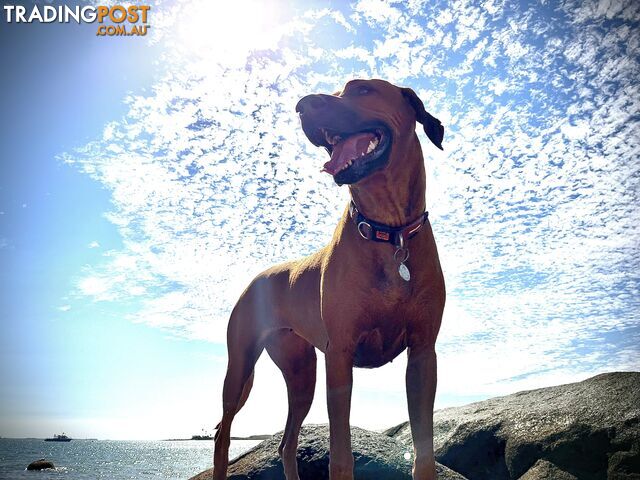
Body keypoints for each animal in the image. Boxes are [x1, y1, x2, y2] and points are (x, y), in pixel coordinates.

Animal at [214, 79, 444, 480]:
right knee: (222, 434)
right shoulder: (339, 355)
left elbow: (424, 450)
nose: (301, 105)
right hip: (240, 367)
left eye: (363, 89)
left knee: (286, 442)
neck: (389, 231)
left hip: (301, 373)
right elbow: (340, 454)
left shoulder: (422, 354)